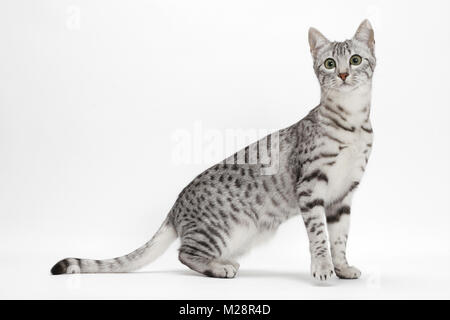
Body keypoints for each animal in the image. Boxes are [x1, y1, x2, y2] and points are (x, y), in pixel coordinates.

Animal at [51, 20, 376, 282]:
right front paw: (323, 267)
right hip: (222, 230)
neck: (352, 122)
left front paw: (342, 267)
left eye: (356, 60)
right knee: (184, 253)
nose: (344, 74)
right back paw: (219, 267)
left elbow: (340, 238)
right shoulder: (311, 187)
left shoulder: (343, 195)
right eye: (330, 63)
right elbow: (319, 236)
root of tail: (175, 207)